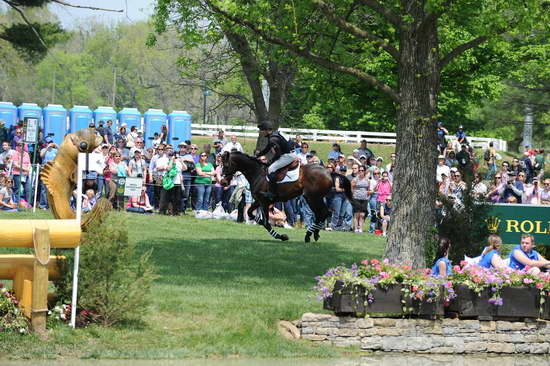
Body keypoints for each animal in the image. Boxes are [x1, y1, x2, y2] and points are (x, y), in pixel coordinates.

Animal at [221, 152, 354, 243]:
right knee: (322, 214)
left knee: (323, 213)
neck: (257, 173)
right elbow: (250, 213)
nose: (223, 182)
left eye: (226, 165)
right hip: (314, 198)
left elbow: (266, 223)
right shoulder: (259, 200)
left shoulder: (264, 201)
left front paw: (282, 236)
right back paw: (314, 234)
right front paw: (258, 221)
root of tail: (329, 173)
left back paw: (309, 235)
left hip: (312, 198)